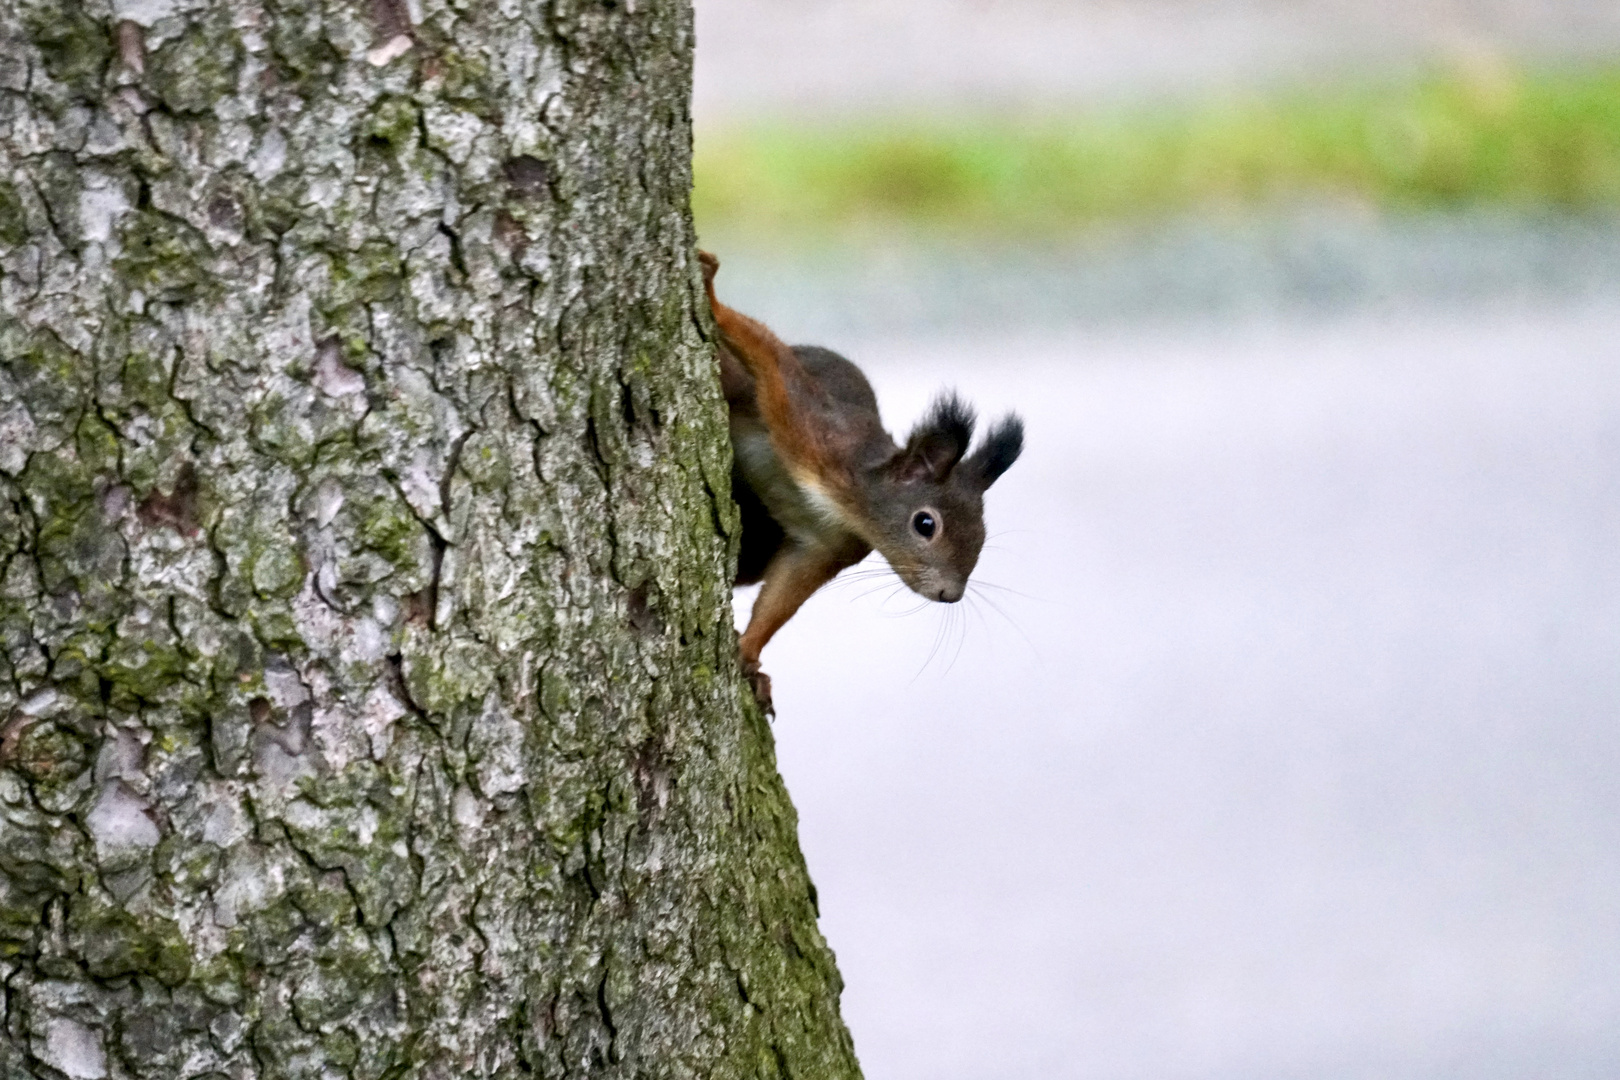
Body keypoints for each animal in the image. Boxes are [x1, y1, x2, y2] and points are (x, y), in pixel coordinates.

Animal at [699, 249, 1023, 712]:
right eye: (925, 524)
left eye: (982, 534)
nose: (951, 594)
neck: (844, 503)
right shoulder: (814, 427)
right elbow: (768, 355)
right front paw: (710, 292)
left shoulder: (827, 544)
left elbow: (783, 596)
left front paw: (750, 653)